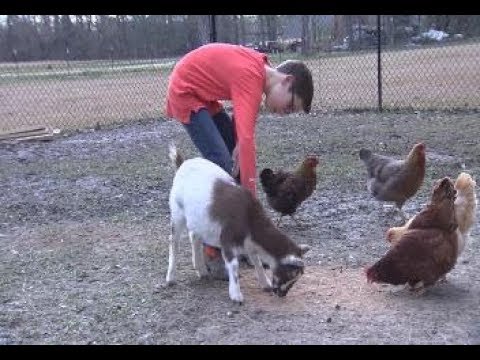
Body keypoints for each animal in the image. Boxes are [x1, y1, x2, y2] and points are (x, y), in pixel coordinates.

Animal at [167, 144, 310, 304]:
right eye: (291, 274)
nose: (281, 294)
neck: (250, 218)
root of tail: (182, 163)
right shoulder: (227, 238)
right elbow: (234, 265)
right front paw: (236, 295)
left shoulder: (250, 243)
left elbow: (257, 260)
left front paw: (265, 284)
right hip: (177, 211)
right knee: (174, 241)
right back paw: (171, 278)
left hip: (199, 219)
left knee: (194, 237)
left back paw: (201, 270)